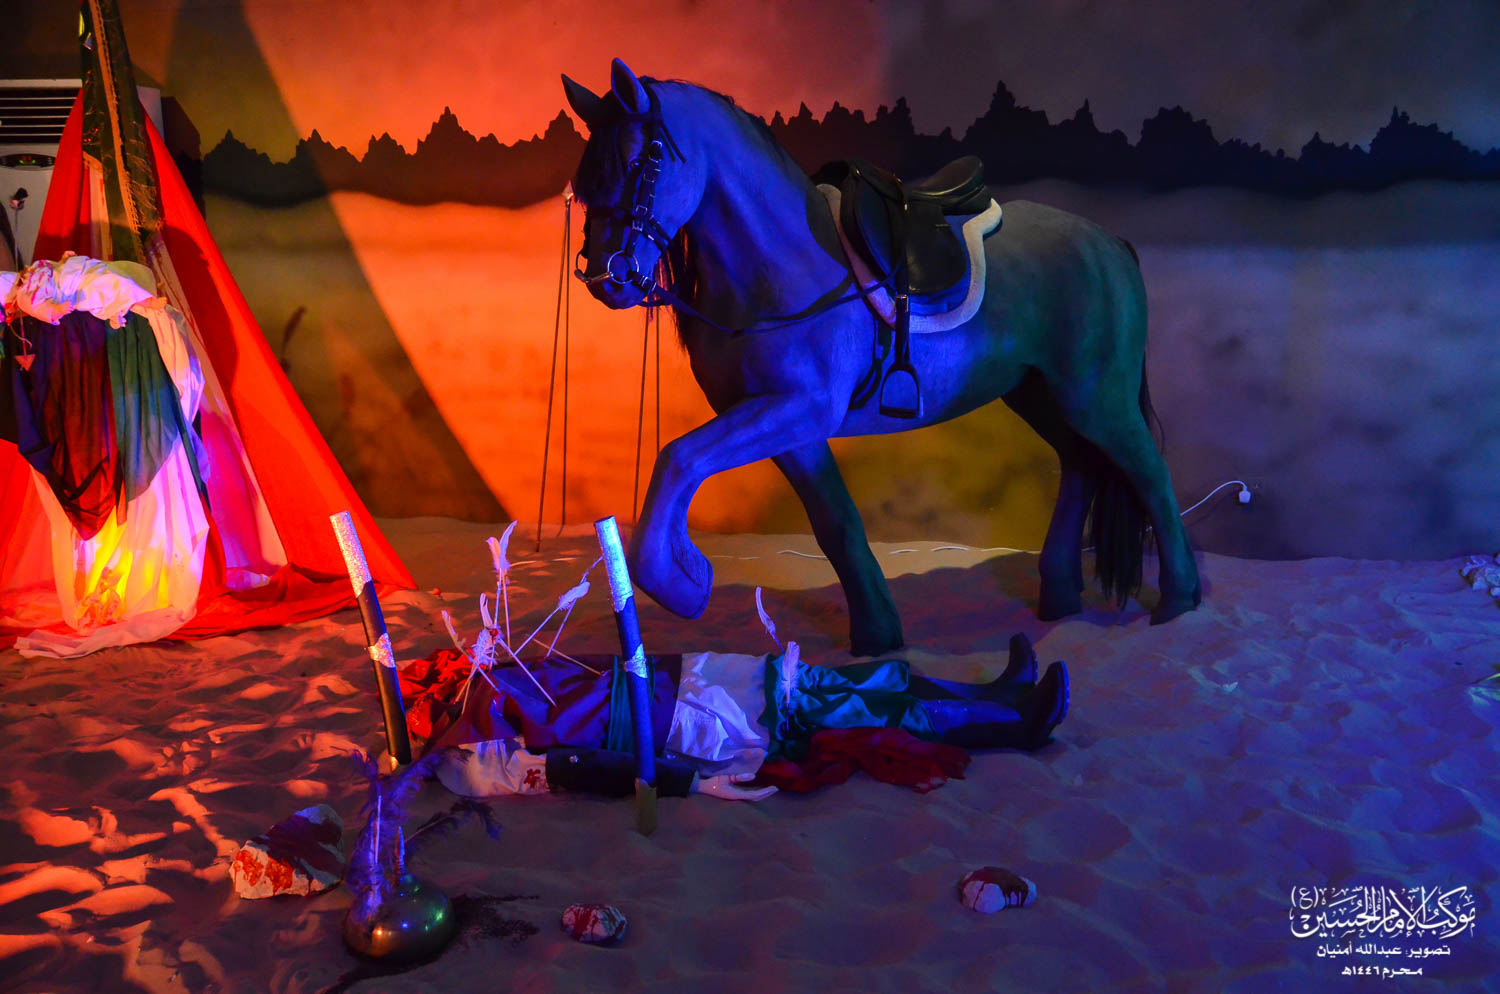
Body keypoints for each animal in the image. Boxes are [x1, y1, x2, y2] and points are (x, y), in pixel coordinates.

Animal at [561, 59, 1200, 656]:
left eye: (641, 161)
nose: (604, 277)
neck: (780, 262)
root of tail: (1108, 241)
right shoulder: (787, 424)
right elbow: (835, 523)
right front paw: (877, 633)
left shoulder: (798, 408)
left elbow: (678, 458)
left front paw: (679, 580)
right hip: (1039, 392)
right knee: (1081, 464)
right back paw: (1061, 594)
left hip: (1097, 398)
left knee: (1150, 471)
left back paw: (1179, 598)